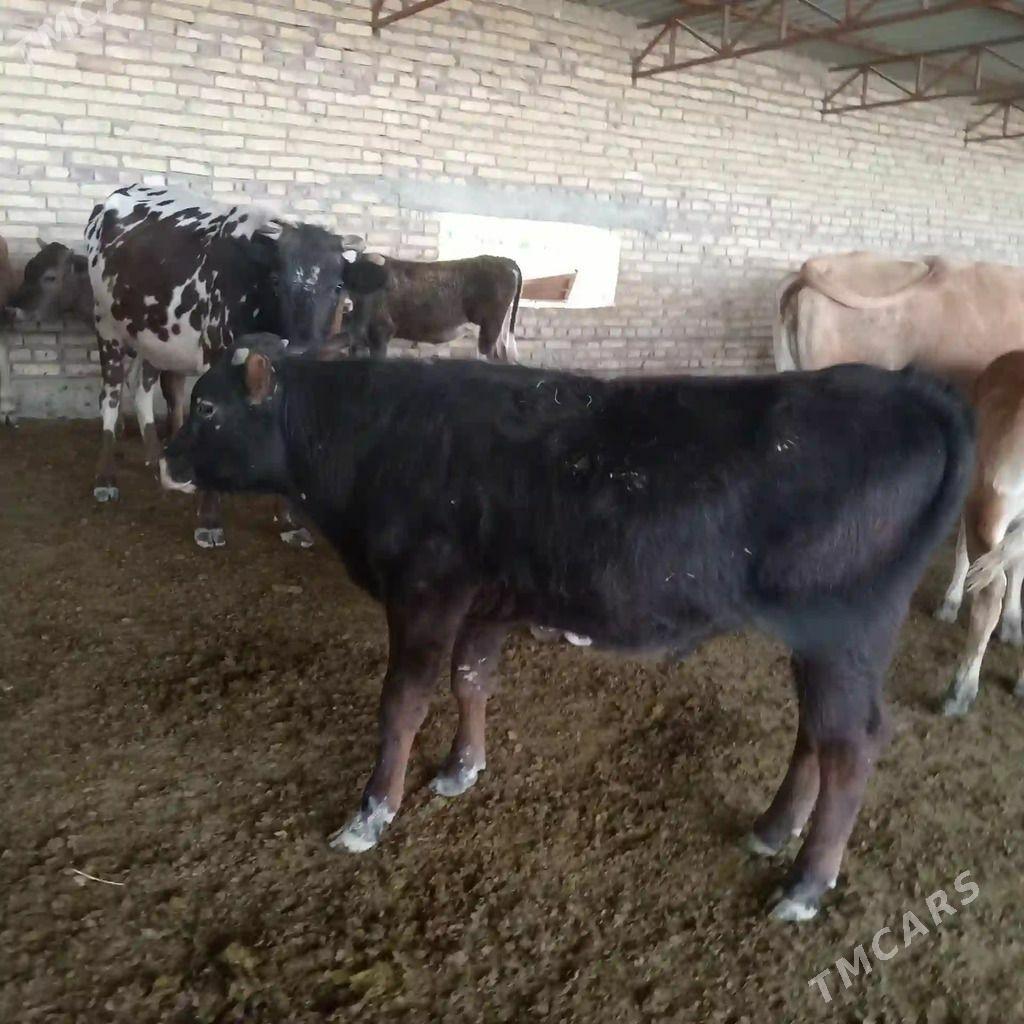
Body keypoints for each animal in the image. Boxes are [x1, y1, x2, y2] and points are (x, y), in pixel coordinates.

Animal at [85, 183, 388, 548]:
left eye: (339, 286)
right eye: (276, 280)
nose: (304, 347)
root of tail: (120, 192)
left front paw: (290, 522)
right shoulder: (215, 357)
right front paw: (209, 521)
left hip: (153, 337)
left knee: (142, 387)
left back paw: (153, 456)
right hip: (107, 326)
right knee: (111, 397)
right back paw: (105, 477)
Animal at [160, 342, 972, 921]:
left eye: (208, 408)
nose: (166, 459)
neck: (377, 439)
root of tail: (903, 386)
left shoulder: (426, 593)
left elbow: (403, 703)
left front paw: (373, 811)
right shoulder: (485, 604)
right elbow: (471, 681)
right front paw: (462, 768)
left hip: (846, 630)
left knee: (852, 745)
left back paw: (806, 883)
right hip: (821, 642)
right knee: (816, 732)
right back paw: (772, 830)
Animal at [336, 255, 522, 361]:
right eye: (350, 283)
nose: (349, 304)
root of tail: (504, 260)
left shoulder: (381, 334)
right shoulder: (357, 342)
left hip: (490, 329)